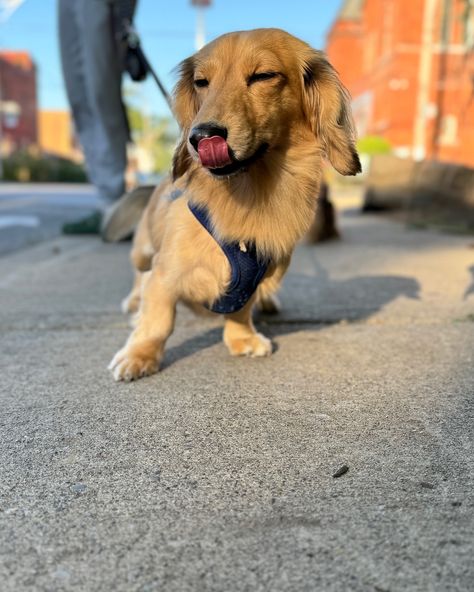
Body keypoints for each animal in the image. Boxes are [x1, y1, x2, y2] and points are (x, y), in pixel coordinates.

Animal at [108, 27, 360, 382]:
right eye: (201, 82)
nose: (201, 137)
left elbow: (241, 308)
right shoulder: (165, 274)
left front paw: (241, 337)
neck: (249, 195)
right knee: (138, 276)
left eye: (263, 76)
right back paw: (133, 304)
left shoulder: (254, 278)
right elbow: (158, 320)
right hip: (143, 250)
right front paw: (140, 354)